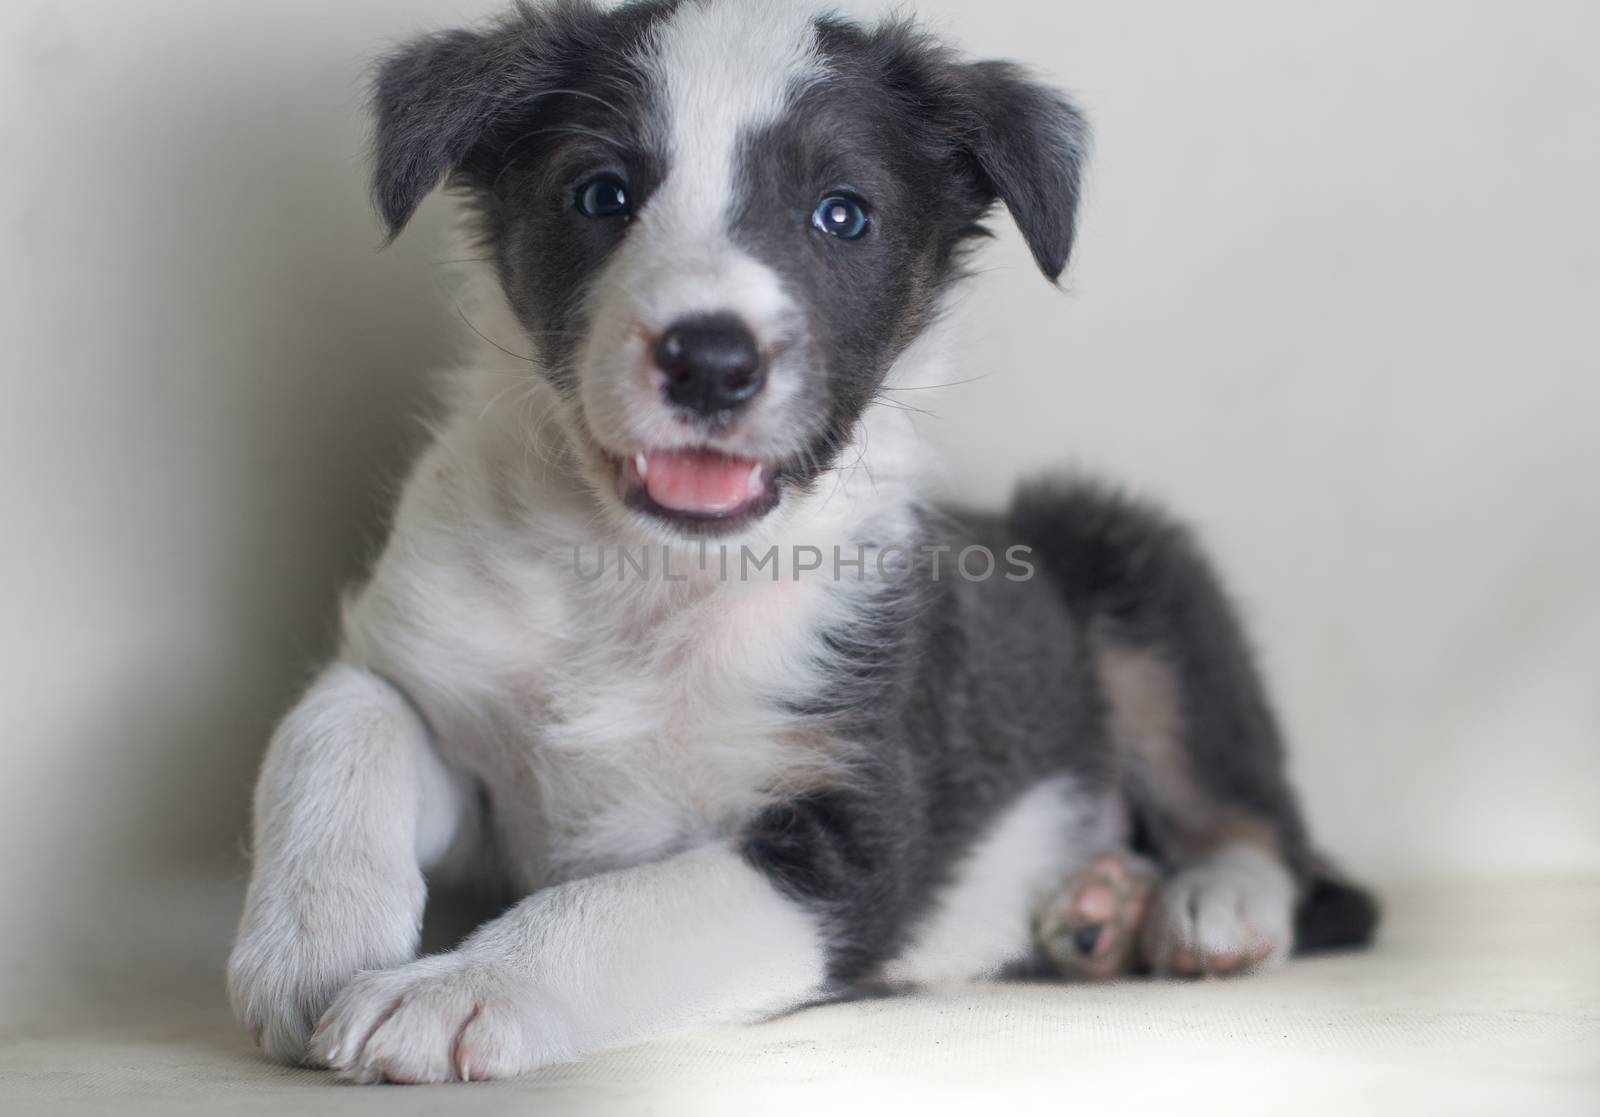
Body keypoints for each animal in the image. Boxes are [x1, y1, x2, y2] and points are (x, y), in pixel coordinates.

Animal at [225, 0, 1376, 1081]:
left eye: (842, 215)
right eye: (601, 195)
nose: (710, 360)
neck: (642, 572)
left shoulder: (853, 849)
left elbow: (615, 913)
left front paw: (456, 989)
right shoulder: (428, 682)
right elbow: (333, 726)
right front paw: (314, 943)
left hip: (1136, 572)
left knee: (1257, 824)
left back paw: (1204, 908)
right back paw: (1100, 907)